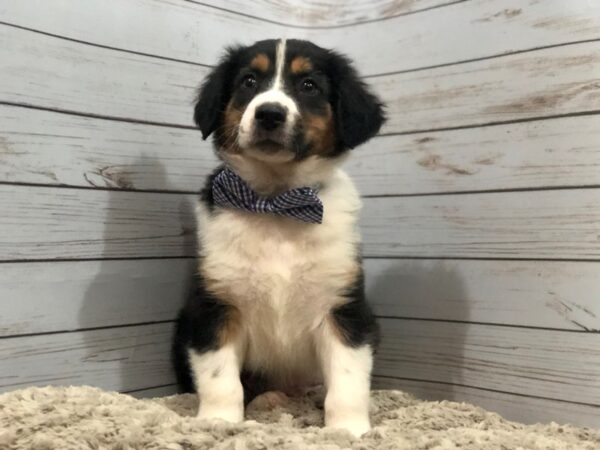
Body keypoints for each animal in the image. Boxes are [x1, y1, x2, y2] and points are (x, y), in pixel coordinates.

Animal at [172, 38, 384, 436]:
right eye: (249, 81)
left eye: (309, 86)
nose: (269, 114)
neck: (275, 204)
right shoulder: (216, 305)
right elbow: (220, 378)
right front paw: (218, 423)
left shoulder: (342, 306)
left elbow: (348, 382)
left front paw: (349, 430)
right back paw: (269, 400)